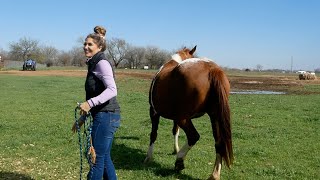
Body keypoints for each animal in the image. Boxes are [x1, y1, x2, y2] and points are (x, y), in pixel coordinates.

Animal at [144, 46, 232, 180]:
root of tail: (212, 69)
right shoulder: (174, 116)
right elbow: (175, 131)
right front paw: (175, 149)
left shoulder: (154, 112)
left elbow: (153, 134)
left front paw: (149, 157)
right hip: (214, 116)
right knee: (219, 142)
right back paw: (214, 174)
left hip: (183, 118)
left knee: (193, 136)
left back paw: (179, 160)